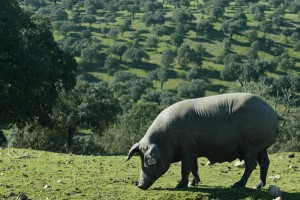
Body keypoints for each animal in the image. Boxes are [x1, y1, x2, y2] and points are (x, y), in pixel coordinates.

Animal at [126, 93, 278, 190]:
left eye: (146, 161)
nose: (139, 185)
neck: (166, 140)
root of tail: (273, 113)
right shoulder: (194, 149)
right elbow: (194, 167)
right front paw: (193, 183)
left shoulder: (188, 149)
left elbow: (185, 168)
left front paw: (179, 186)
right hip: (261, 148)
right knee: (265, 163)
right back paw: (258, 186)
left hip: (251, 145)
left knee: (251, 164)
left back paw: (237, 185)